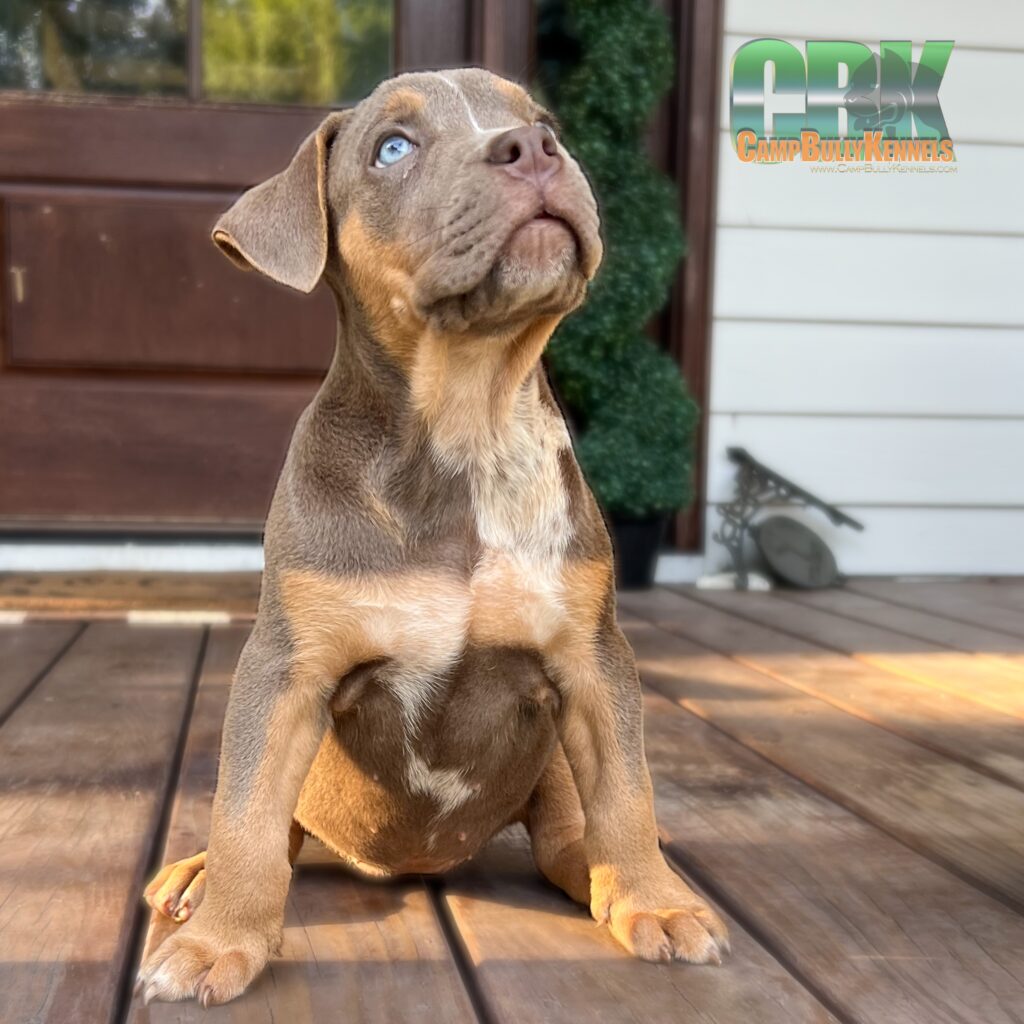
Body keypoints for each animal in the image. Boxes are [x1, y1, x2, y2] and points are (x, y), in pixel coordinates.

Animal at [136, 66, 729, 1007]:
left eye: (545, 122)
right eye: (393, 148)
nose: (534, 149)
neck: (466, 426)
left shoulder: (594, 659)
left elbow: (628, 793)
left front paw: (654, 899)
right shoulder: (285, 670)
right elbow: (247, 814)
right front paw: (220, 937)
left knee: (570, 830)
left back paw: (602, 876)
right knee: (281, 830)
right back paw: (197, 880)